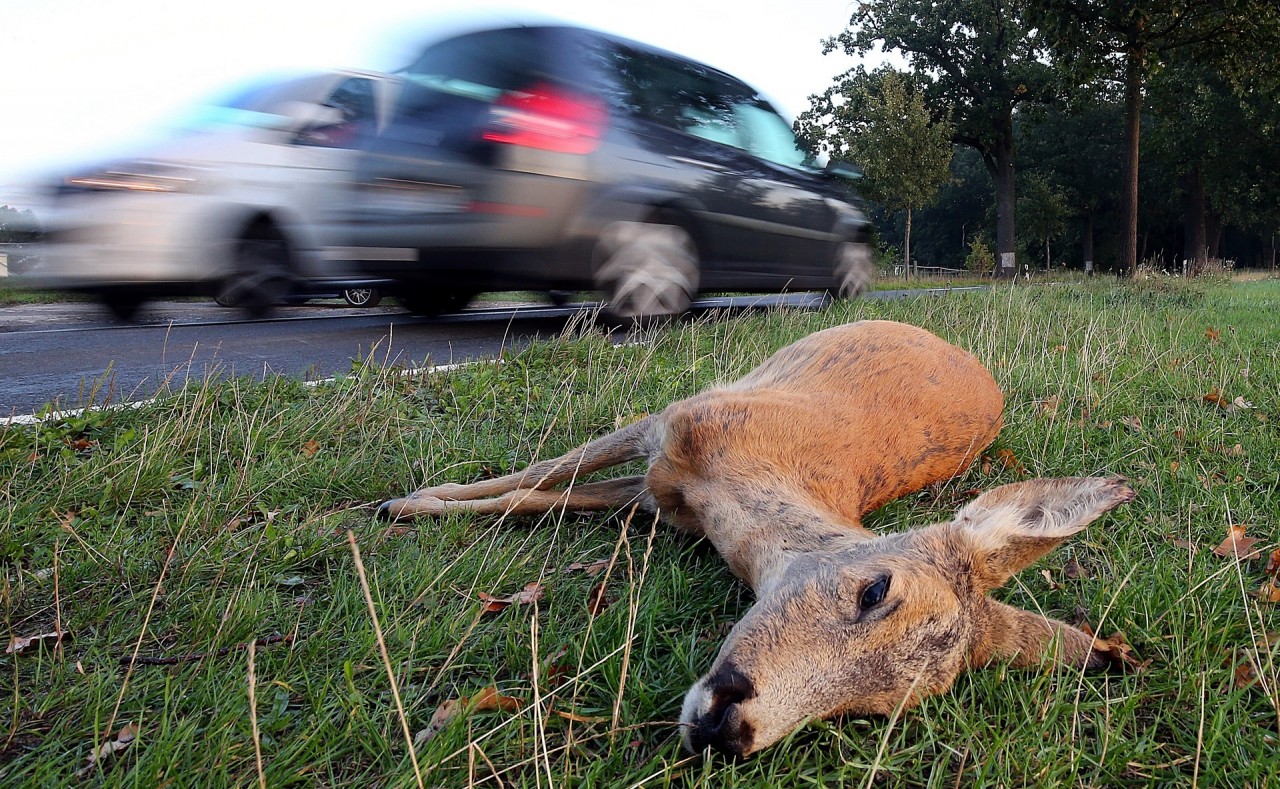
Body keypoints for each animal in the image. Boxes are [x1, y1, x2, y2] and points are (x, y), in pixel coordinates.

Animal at [373, 320, 1136, 758]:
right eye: (876, 589)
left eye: (875, 708)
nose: (728, 730)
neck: (731, 488)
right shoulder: (672, 422)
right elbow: (537, 476)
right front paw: (407, 501)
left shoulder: (658, 496)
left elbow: (542, 497)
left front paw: (416, 503)